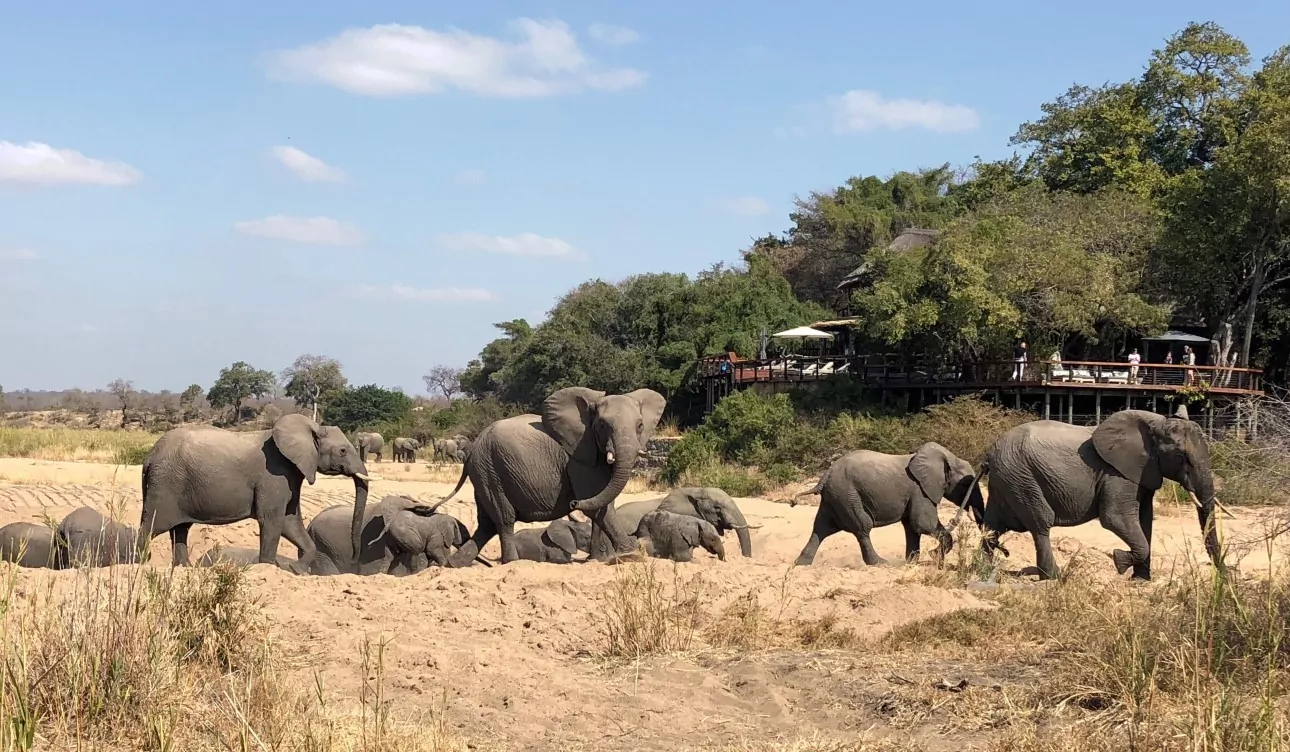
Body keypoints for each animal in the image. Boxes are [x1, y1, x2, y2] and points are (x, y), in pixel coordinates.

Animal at [141, 413, 371, 573]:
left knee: (180, 530)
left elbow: (289, 521)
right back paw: (139, 562)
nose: (354, 559)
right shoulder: (274, 475)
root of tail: (149, 456)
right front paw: (269, 566)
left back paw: (185, 568)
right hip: (164, 484)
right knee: (151, 527)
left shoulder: (290, 476)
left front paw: (295, 570)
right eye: (342, 451)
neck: (308, 427)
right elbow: (272, 520)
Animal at [428, 386, 667, 566]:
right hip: (490, 470)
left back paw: (454, 565)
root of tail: (472, 451)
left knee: (486, 524)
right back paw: (512, 564)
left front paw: (597, 560)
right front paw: (632, 555)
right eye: (601, 425)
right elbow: (596, 506)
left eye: (640, 426)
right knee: (504, 519)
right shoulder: (578, 457)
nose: (571, 502)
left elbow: (602, 502)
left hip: (484, 474)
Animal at [793, 442, 981, 567]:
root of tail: (824, 476)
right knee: (862, 526)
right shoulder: (920, 490)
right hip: (846, 495)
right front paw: (933, 556)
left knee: (821, 528)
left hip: (835, 497)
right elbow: (922, 524)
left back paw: (801, 564)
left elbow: (912, 527)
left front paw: (912, 563)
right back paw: (880, 563)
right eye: (966, 484)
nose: (955, 520)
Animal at [975, 408, 1224, 581]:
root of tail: (989, 454)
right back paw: (1054, 577)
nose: (1223, 577)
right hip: (1021, 477)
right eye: (1183, 458)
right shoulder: (1117, 474)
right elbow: (1114, 518)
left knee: (992, 527)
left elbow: (1145, 520)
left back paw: (983, 568)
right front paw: (1119, 560)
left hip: (1006, 479)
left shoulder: (1143, 473)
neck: (1156, 423)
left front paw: (1140, 581)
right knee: (1040, 523)